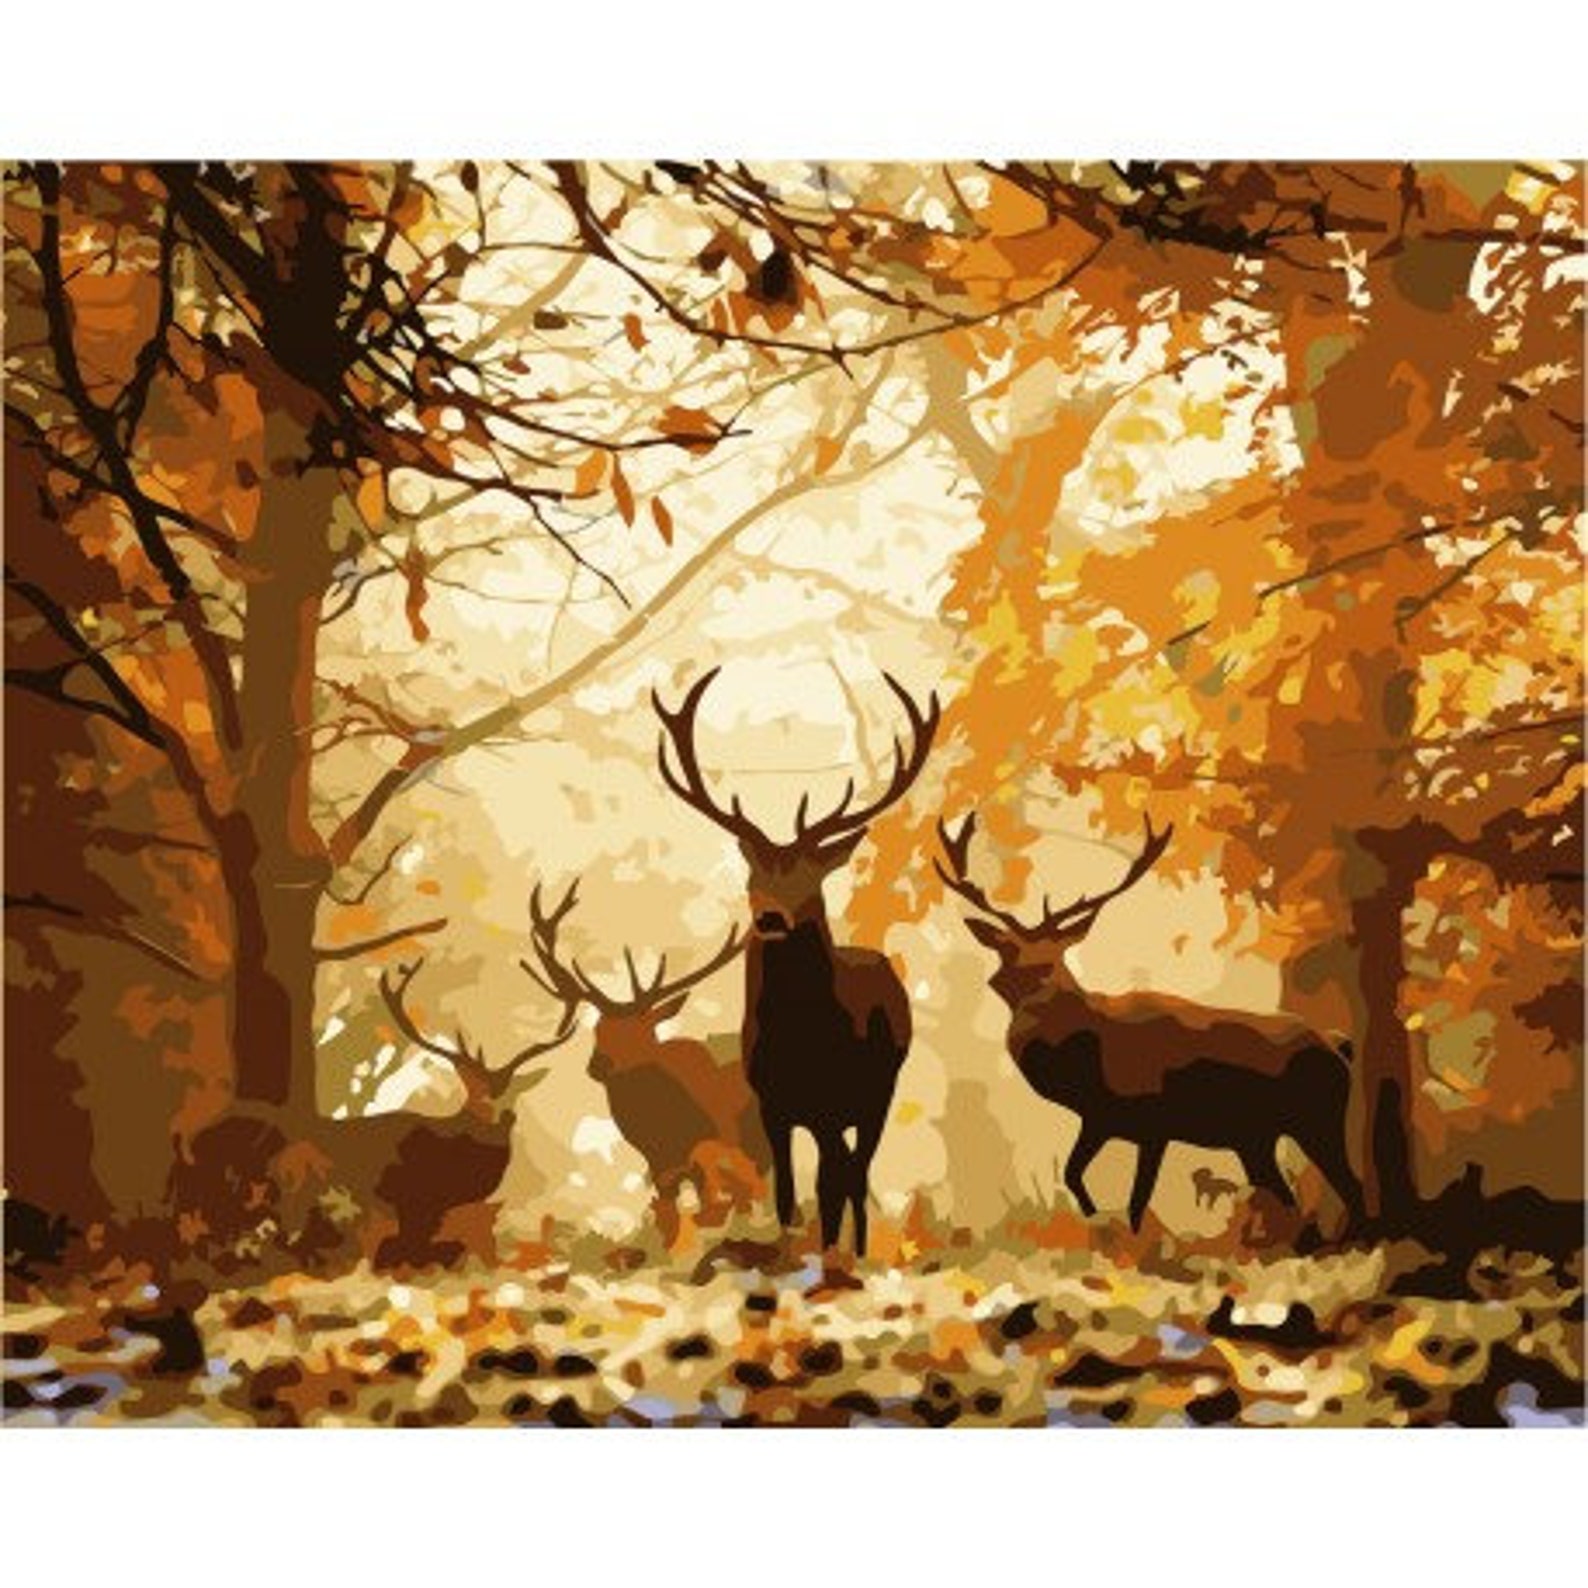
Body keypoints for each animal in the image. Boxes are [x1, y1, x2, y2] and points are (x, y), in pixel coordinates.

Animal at [521, 880, 766, 1244]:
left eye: (643, 1029)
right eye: (598, 1028)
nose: (599, 1065)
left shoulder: (721, 1143)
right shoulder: (659, 1168)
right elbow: (671, 1222)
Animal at [652, 666, 942, 1256]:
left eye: (812, 877)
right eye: (753, 875)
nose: (769, 918)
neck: (801, 1045)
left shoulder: (834, 1102)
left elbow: (834, 1180)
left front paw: (833, 1256)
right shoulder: (773, 1106)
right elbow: (786, 1189)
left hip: (879, 1090)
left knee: (854, 1171)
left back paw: (856, 1250)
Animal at [936, 813, 1365, 1236]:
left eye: (1055, 960)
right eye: (1007, 954)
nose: (1022, 989)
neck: (1090, 1070)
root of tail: (1339, 1044)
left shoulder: (1154, 1122)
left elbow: (1137, 1201)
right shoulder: (1099, 1120)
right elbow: (1074, 1175)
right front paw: (1094, 1218)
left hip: (1319, 1119)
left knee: (1352, 1184)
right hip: (1255, 1138)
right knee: (1284, 1191)